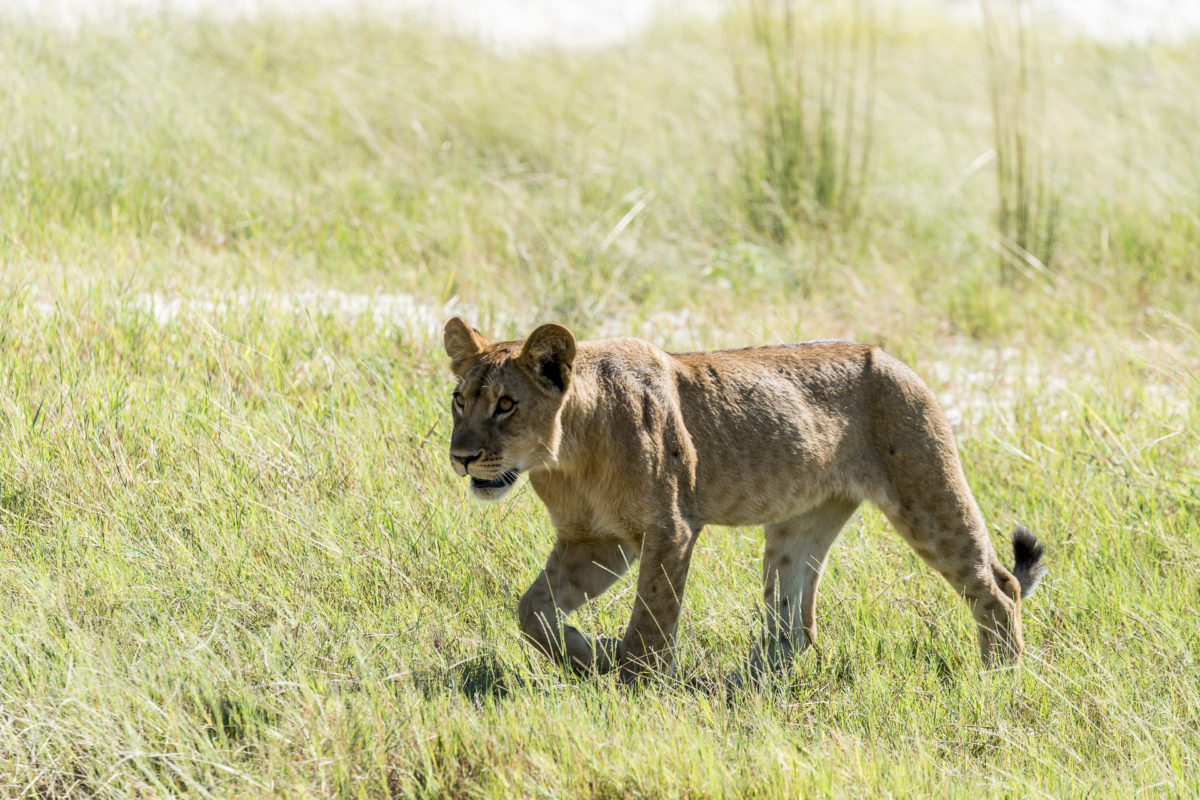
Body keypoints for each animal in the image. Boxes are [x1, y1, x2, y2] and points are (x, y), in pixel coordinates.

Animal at [444, 316, 1051, 681]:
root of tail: (895, 358)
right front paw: (591, 656)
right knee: (794, 624)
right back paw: (753, 683)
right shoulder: (595, 540)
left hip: (926, 497)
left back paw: (999, 680)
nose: (462, 457)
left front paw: (635, 682)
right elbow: (533, 611)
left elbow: (651, 618)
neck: (566, 455)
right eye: (459, 400)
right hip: (798, 526)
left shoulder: (670, 528)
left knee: (998, 587)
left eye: (505, 405)